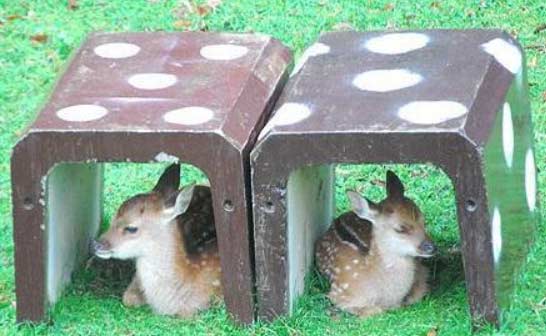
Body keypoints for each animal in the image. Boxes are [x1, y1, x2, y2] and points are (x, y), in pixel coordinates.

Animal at [314, 172, 434, 316]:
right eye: (400, 228)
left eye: (423, 220)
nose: (431, 247)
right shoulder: (339, 293)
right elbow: (374, 311)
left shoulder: (422, 273)